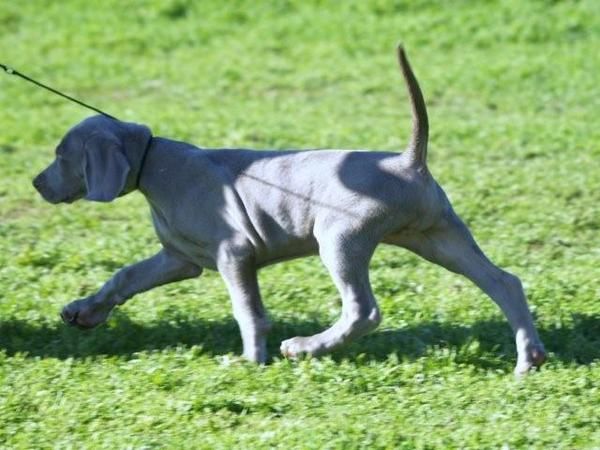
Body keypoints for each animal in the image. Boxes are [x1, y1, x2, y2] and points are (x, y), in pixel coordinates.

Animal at [32, 46, 546, 374]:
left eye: (61, 156)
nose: (36, 182)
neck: (153, 163)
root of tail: (406, 161)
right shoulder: (181, 258)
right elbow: (124, 277)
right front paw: (84, 312)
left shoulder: (234, 252)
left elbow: (246, 309)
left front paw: (247, 360)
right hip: (438, 235)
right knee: (504, 282)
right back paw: (529, 358)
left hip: (339, 238)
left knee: (363, 311)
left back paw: (304, 348)